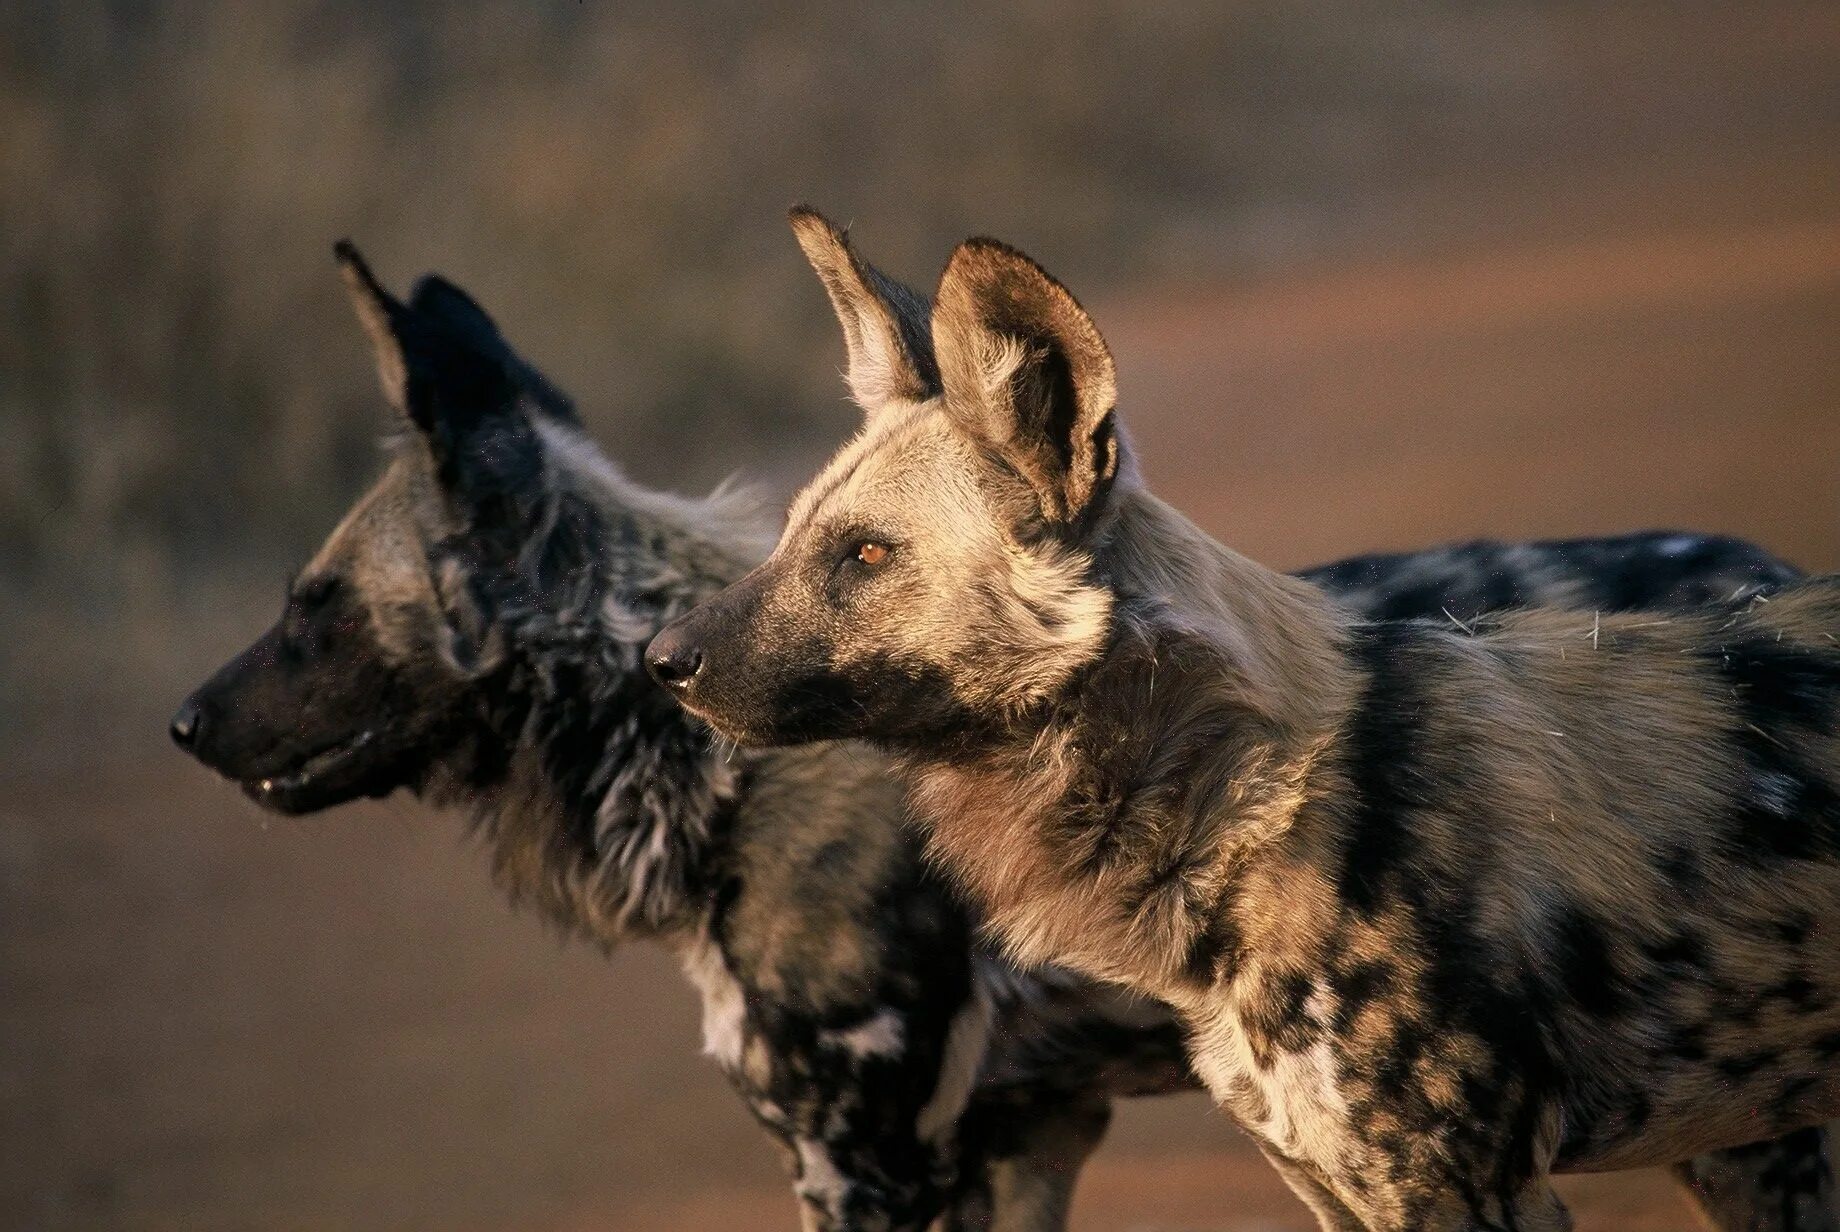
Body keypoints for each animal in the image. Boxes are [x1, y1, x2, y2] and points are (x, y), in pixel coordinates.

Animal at [651, 207, 1840, 1228]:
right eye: (791, 536)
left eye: (865, 554)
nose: (661, 659)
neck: (1235, 806)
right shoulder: (1335, 1186)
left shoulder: (1462, 1193)